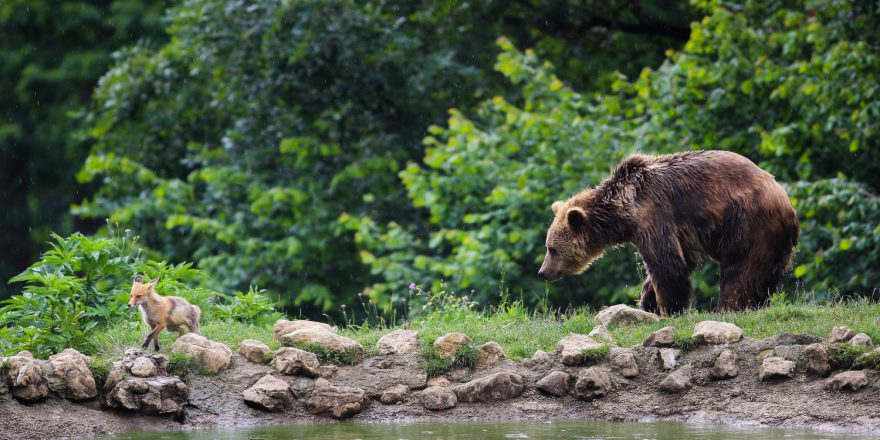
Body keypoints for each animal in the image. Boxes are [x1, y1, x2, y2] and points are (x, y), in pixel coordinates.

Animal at [540, 150, 800, 314]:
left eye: (552, 249)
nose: (543, 272)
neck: (624, 211)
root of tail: (786, 201)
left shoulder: (654, 215)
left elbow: (666, 264)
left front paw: (669, 308)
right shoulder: (679, 230)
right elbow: (683, 259)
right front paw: (648, 301)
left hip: (747, 221)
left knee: (741, 269)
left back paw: (729, 306)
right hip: (777, 242)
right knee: (766, 273)